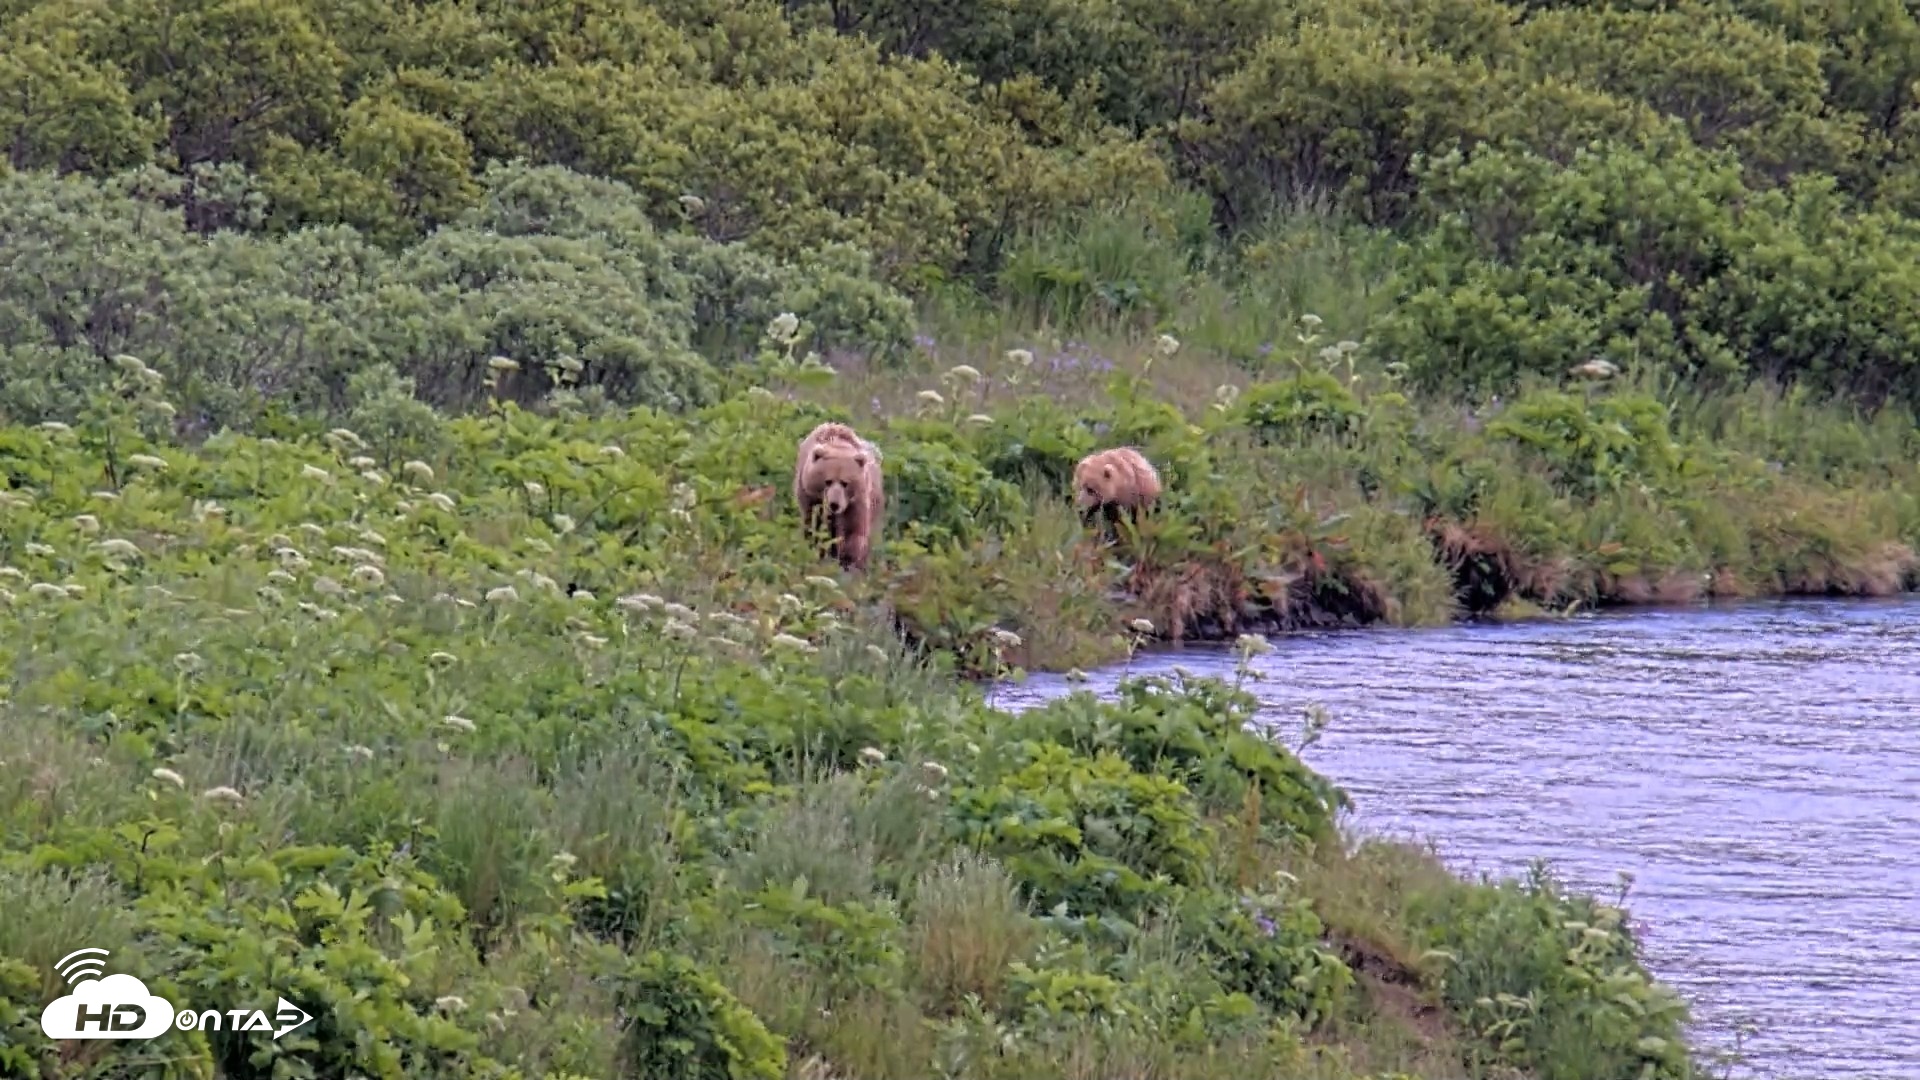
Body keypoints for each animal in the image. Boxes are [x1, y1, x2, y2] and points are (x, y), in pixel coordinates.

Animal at [793, 421, 885, 572]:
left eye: (845, 483)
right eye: (828, 481)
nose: (834, 504)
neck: (838, 445)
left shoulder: (856, 501)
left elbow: (853, 529)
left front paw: (848, 559)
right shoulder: (810, 497)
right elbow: (814, 524)